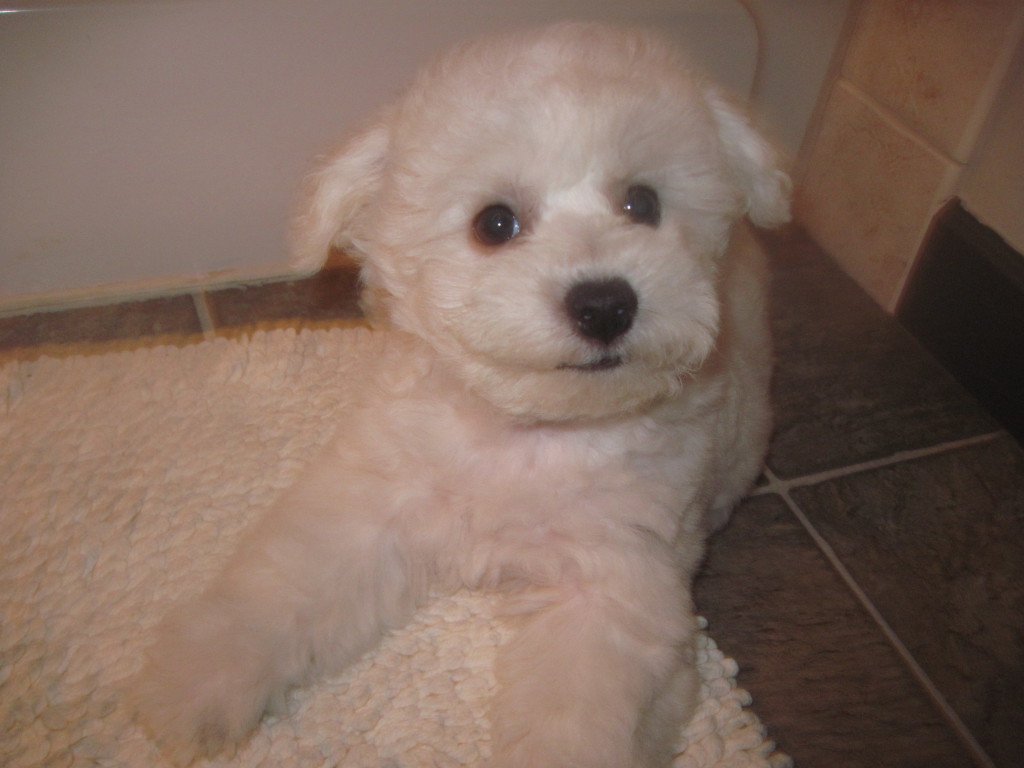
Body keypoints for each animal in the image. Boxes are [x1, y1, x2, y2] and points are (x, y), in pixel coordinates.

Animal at [136, 22, 786, 768]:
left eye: (643, 204)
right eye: (494, 223)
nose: (604, 304)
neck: (529, 430)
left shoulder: (615, 585)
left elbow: (575, 711)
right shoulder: (371, 503)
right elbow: (285, 584)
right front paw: (199, 677)